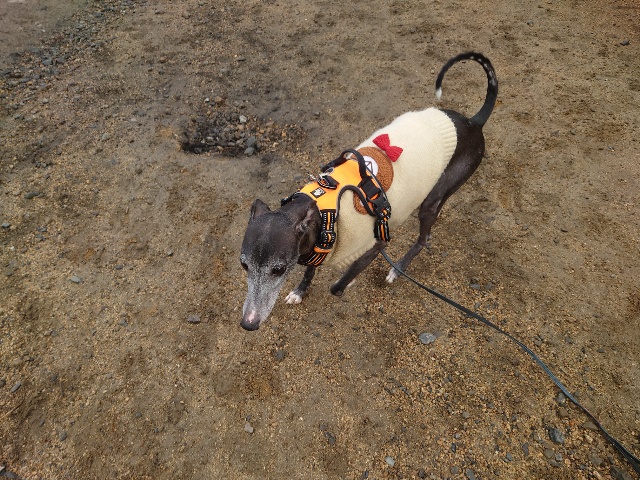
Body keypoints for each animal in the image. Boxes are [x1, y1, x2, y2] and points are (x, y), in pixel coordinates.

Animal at [240, 52, 498, 331]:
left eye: (277, 269)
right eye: (244, 265)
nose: (248, 324)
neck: (326, 211)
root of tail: (473, 122)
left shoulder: (377, 242)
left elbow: (337, 285)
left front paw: (347, 283)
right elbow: (310, 270)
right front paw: (300, 291)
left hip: (433, 199)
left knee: (424, 238)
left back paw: (397, 269)